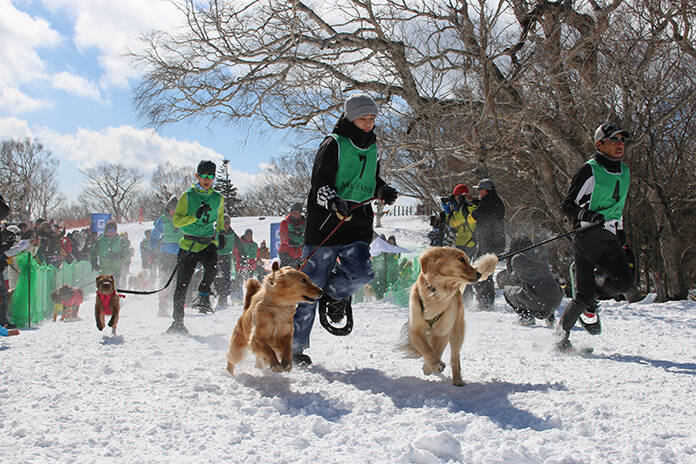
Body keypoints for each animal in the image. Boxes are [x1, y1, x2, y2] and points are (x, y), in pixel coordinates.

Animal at [400, 248, 498, 386]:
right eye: (461, 259)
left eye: (468, 260)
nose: (478, 274)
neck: (436, 292)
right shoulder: (415, 329)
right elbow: (426, 348)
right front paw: (433, 364)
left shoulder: (443, 332)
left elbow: (437, 350)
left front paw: (430, 367)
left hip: (457, 331)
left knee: (455, 358)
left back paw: (457, 379)